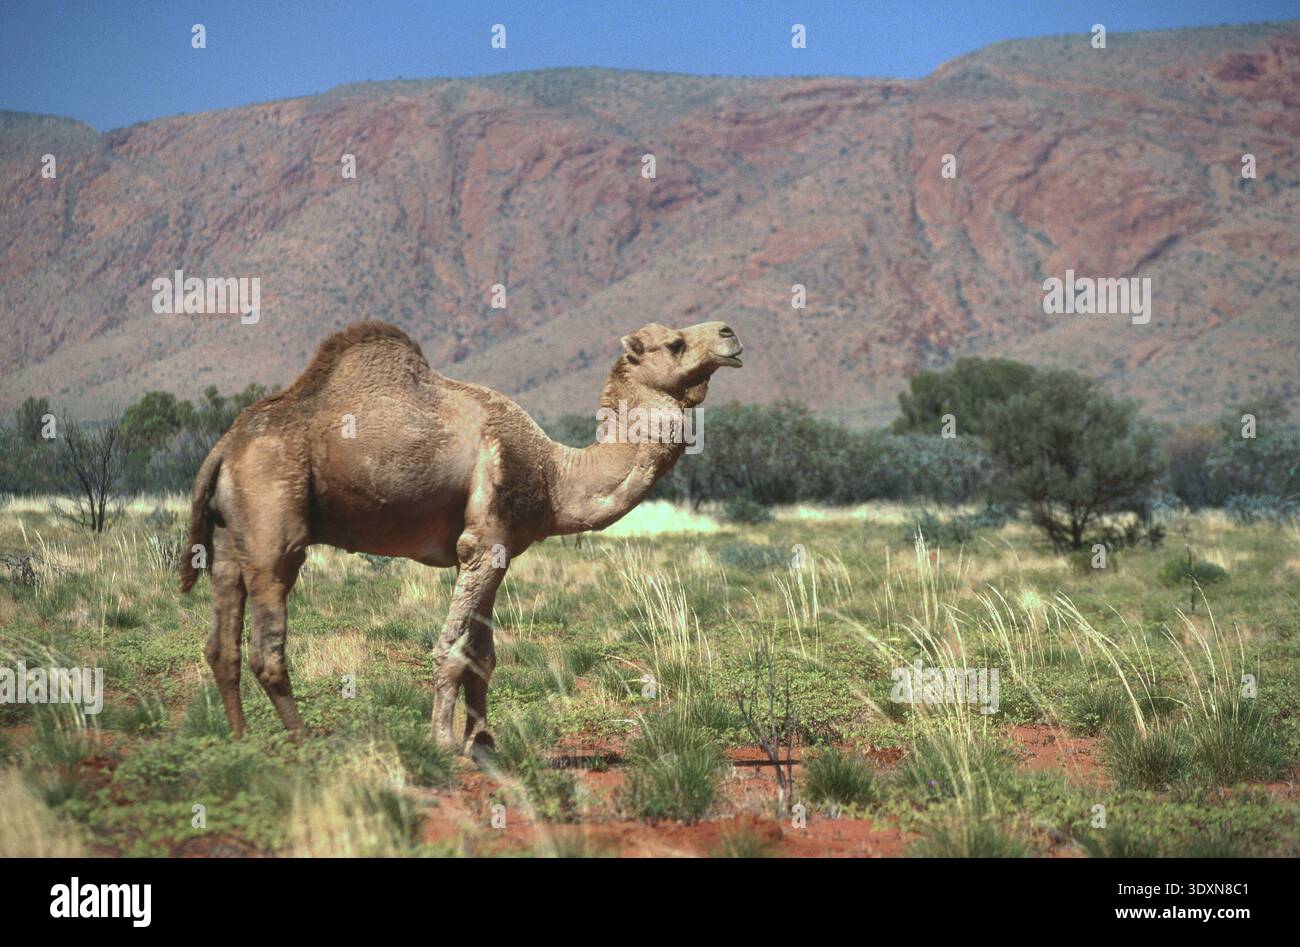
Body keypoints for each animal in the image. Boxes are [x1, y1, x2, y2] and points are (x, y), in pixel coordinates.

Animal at [180, 319, 743, 754]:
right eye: (675, 343)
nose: (729, 334)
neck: (554, 474)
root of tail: (226, 447)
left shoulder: (496, 551)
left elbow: (483, 656)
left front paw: (485, 742)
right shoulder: (483, 544)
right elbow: (451, 650)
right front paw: (446, 742)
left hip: (228, 538)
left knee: (221, 643)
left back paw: (240, 740)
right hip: (275, 520)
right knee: (267, 643)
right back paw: (304, 743)